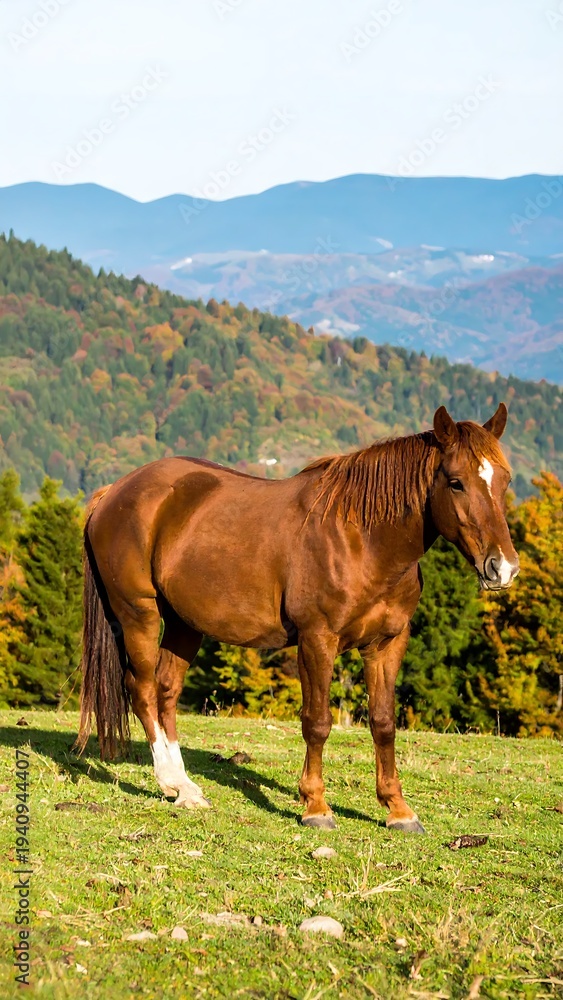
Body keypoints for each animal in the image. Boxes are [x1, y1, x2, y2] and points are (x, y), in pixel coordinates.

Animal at [75, 403, 519, 833]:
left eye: (505, 481)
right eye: (456, 482)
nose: (502, 568)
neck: (363, 539)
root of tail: (114, 491)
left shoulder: (387, 644)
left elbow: (383, 722)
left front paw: (398, 810)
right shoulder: (317, 639)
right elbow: (317, 721)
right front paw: (316, 806)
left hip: (185, 624)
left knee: (166, 691)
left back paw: (185, 788)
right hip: (139, 614)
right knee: (143, 689)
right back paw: (169, 780)